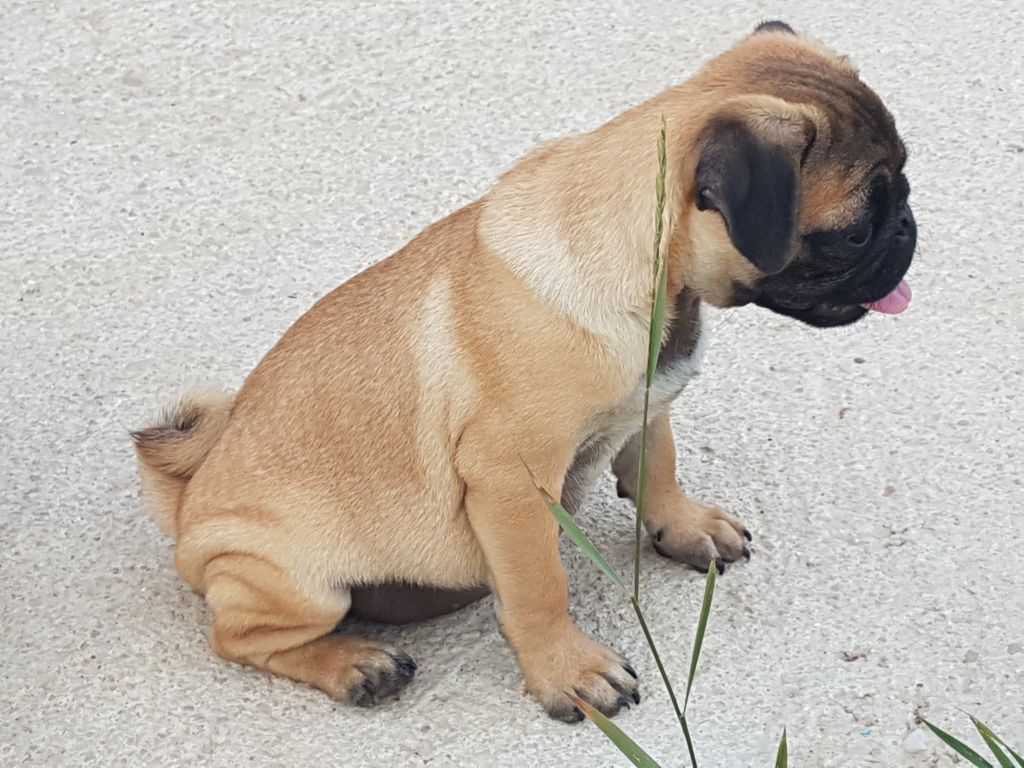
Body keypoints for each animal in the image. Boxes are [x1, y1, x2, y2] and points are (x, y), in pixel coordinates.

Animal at [134, 20, 913, 724]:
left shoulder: (649, 404)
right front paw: (569, 671)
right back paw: (355, 664)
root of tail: (186, 501)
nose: (909, 227)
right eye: (852, 233)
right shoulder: (513, 481)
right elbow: (541, 586)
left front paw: (685, 526)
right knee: (240, 639)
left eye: (903, 184)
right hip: (295, 580)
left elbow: (658, 467)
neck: (660, 279)